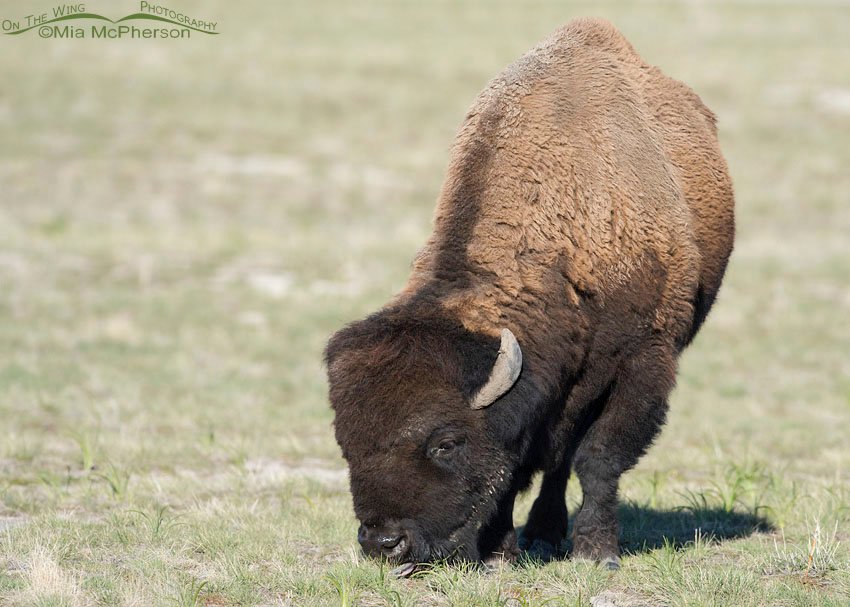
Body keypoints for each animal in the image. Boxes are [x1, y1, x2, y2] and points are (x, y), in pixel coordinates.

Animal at [325, 17, 735, 575]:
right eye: (346, 443)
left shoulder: (643, 362)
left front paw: (597, 553)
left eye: (446, 443)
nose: (384, 544)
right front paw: (501, 553)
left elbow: (599, 458)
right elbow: (517, 469)